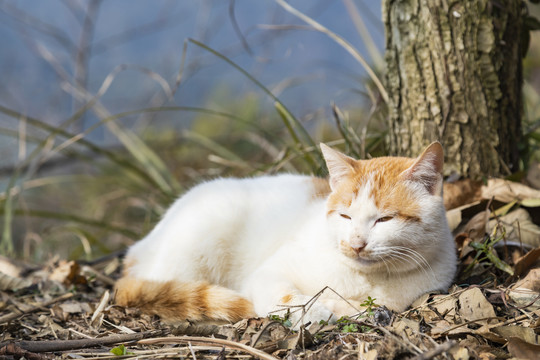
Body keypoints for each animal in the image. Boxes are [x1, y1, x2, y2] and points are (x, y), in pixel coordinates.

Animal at [116, 143, 458, 326]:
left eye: (384, 219)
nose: (356, 244)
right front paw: (321, 309)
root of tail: (140, 247)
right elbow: (291, 297)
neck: (367, 281)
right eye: (345, 216)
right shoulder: (267, 274)